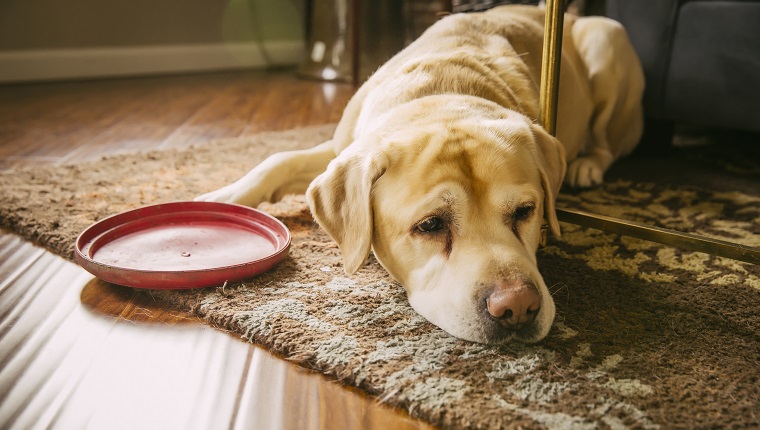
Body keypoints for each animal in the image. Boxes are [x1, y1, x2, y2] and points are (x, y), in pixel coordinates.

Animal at [196, 5, 640, 344]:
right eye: (430, 225)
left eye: (525, 212)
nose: (517, 307)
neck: (440, 94)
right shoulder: (341, 146)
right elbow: (278, 158)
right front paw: (221, 198)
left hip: (608, 39)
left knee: (606, 142)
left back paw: (586, 165)